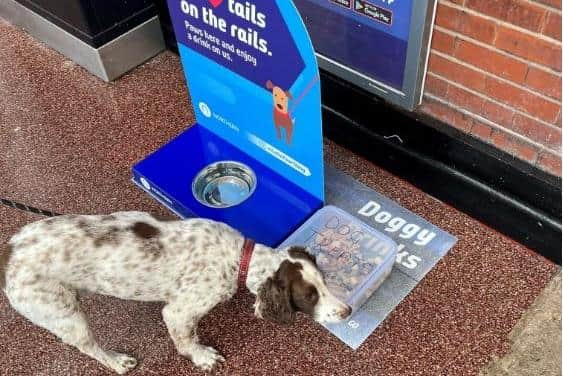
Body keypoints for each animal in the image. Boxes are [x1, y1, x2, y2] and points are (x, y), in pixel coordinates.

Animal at [1, 212, 352, 374]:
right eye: (310, 297)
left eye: (325, 283)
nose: (347, 311)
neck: (239, 257)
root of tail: (8, 253)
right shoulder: (180, 310)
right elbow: (186, 339)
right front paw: (202, 357)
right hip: (63, 312)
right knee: (88, 346)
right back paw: (117, 362)